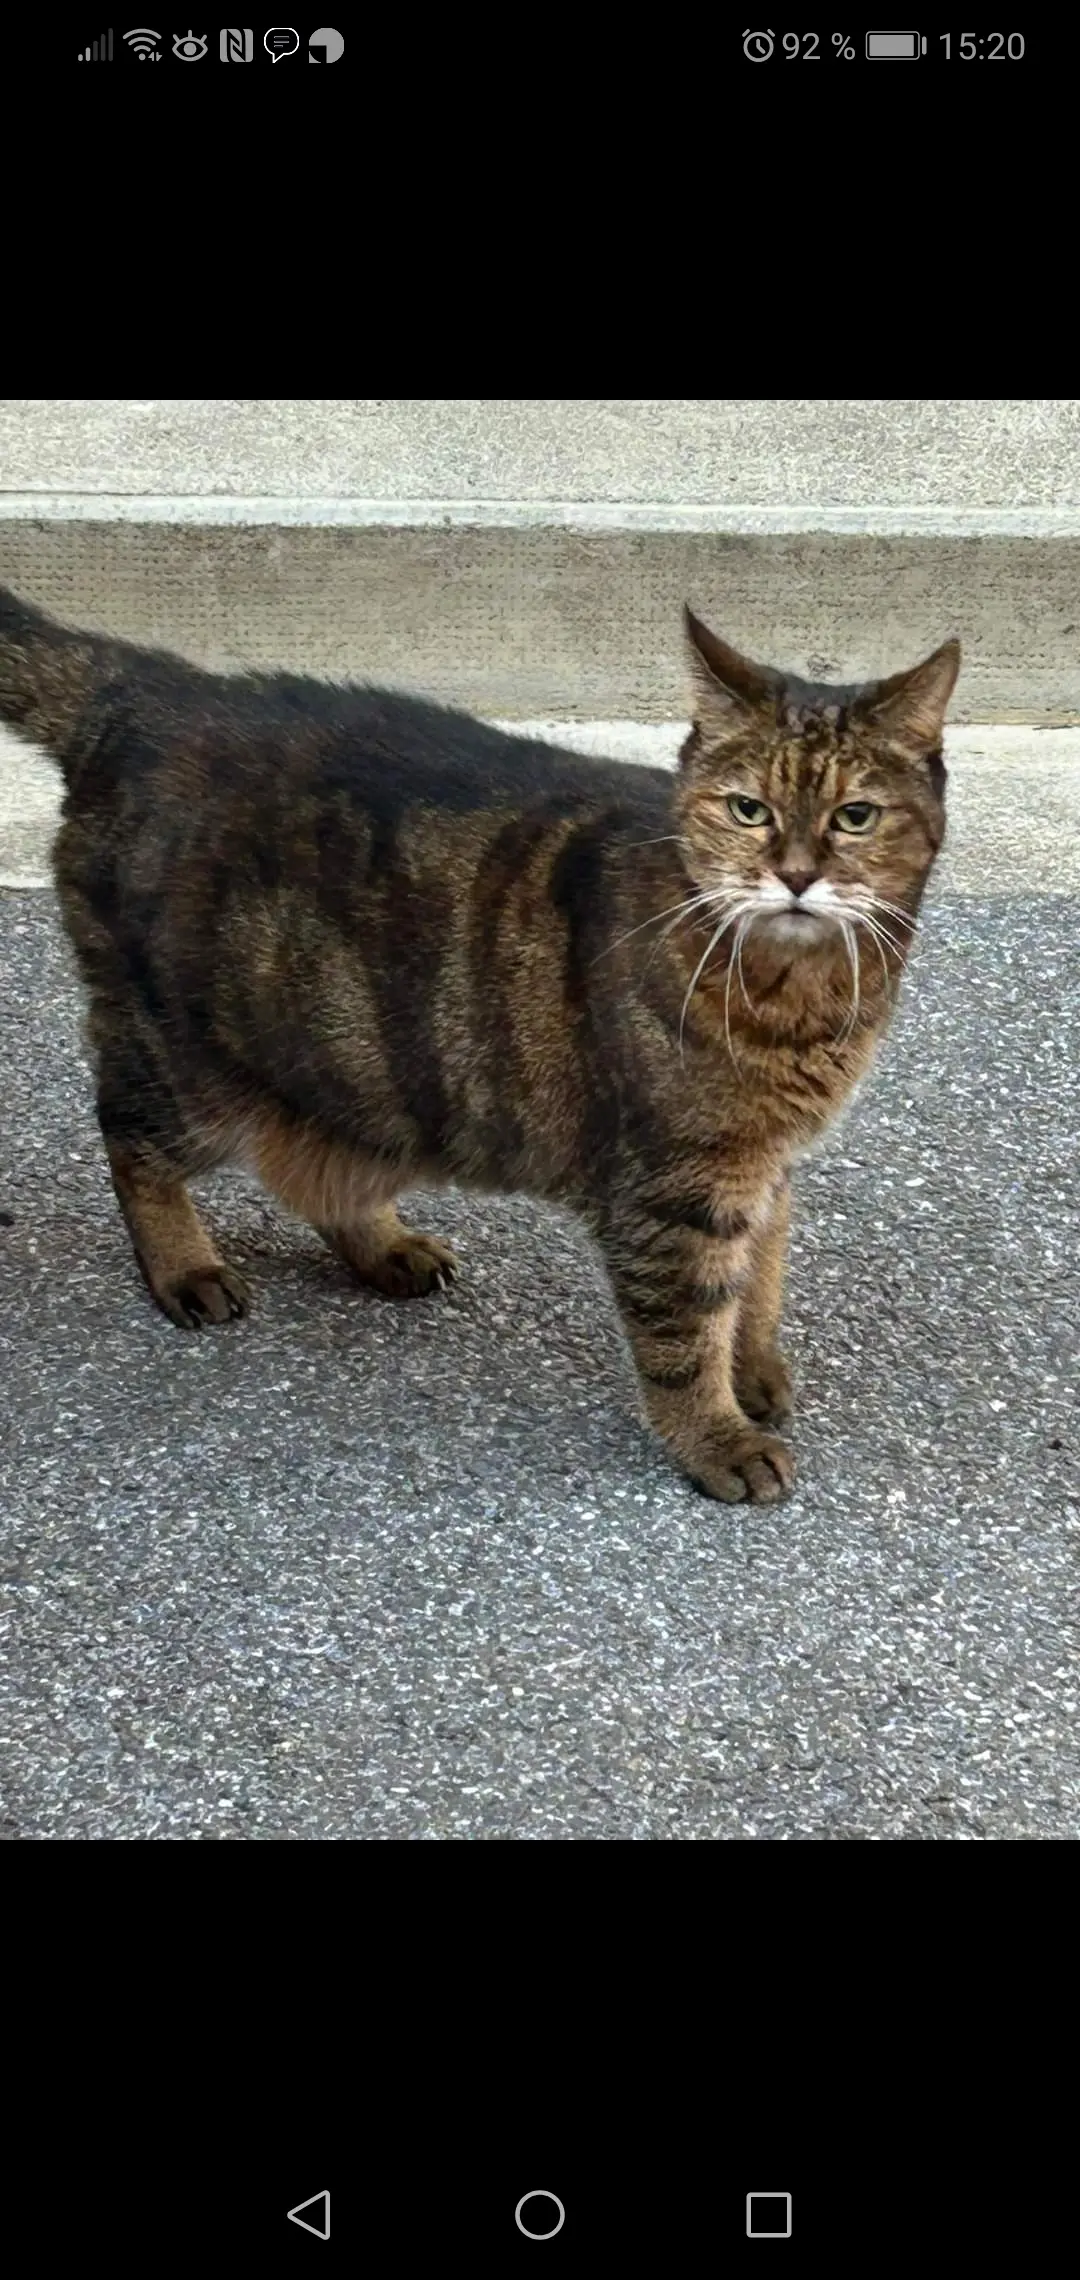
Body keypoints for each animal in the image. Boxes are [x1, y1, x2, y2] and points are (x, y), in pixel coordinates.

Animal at [0, 588, 961, 1504]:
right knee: (129, 1140)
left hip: (361, 1074)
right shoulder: (677, 1188)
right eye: (749, 809)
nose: (796, 875)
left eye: (856, 816)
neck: (807, 997)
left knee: (311, 1170)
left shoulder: (762, 1167)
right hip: (188, 1064)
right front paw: (717, 1437)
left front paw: (752, 1370)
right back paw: (183, 1266)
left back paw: (384, 1246)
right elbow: (687, 1332)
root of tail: (151, 692)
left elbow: (759, 1282)